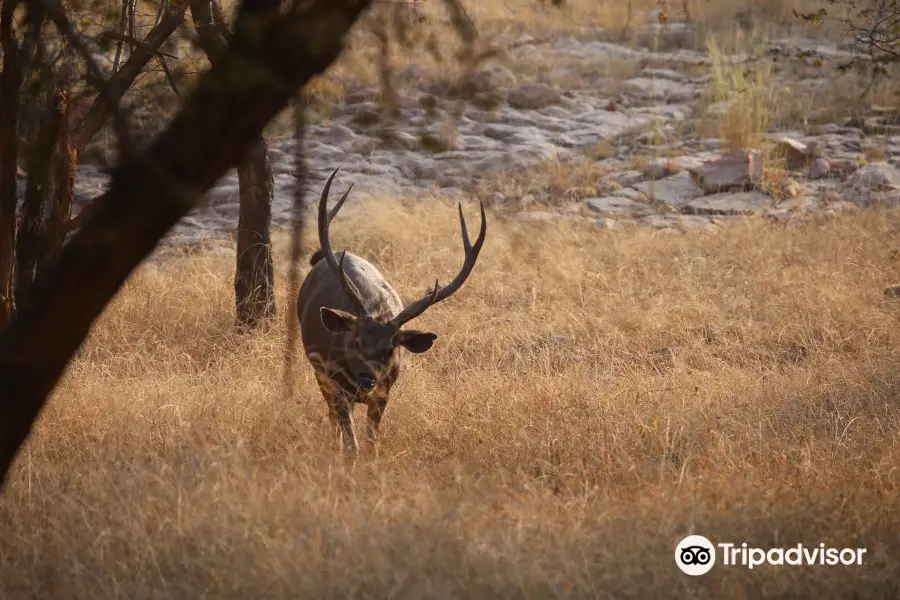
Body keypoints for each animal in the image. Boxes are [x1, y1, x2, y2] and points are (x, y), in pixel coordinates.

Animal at [298, 169, 488, 454]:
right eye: (355, 341)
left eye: (390, 349)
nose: (366, 380)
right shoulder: (335, 379)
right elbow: (351, 444)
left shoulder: (384, 390)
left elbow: (370, 443)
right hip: (318, 368)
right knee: (331, 414)